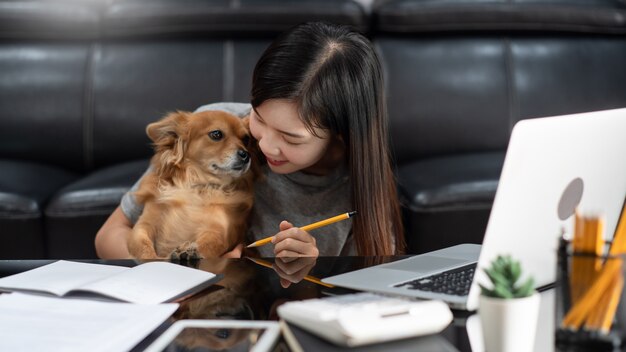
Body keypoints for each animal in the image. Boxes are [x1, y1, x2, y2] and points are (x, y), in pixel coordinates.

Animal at [127, 110, 256, 262]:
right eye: (216, 134)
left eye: (246, 139)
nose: (245, 154)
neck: (197, 186)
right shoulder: (144, 225)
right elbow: (142, 246)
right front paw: (153, 259)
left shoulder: (219, 230)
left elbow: (211, 243)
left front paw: (190, 251)